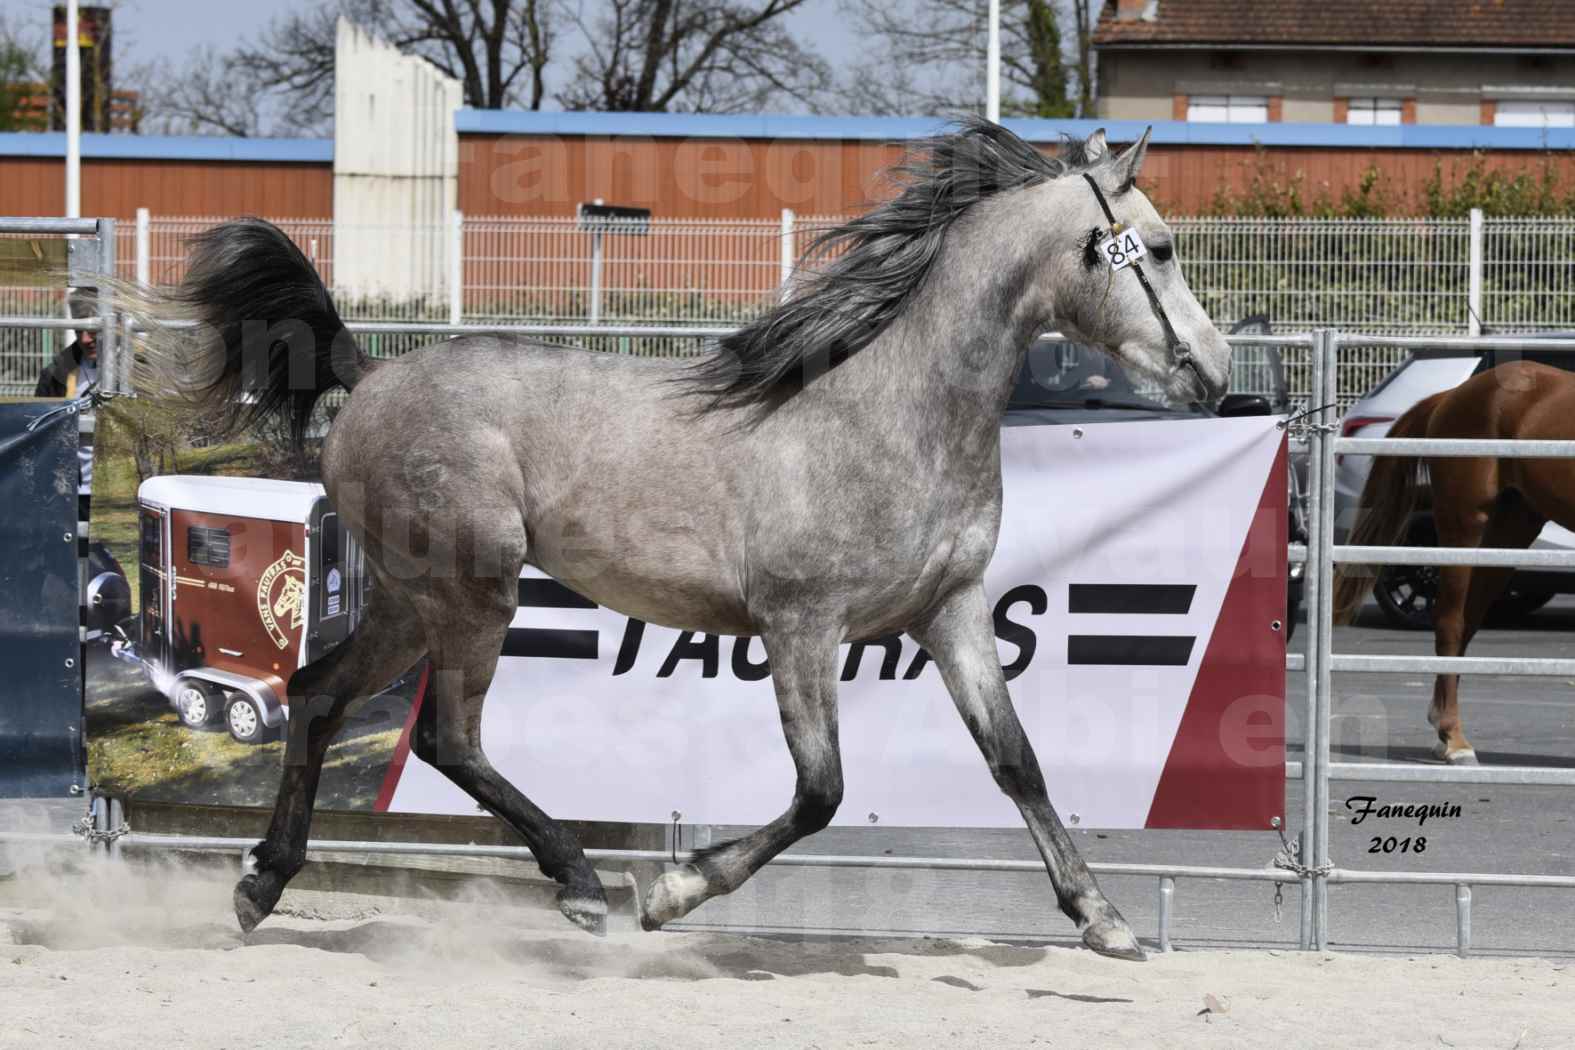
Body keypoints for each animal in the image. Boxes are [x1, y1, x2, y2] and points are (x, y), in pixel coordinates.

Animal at [135, 121, 1228, 963]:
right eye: (1161, 247)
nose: (1215, 375)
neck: (890, 416)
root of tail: (365, 376)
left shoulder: (948, 614)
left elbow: (1018, 765)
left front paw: (1105, 920)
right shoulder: (801, 626)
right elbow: (822, 792)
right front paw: (671, 893)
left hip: (410, 602)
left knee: (318, 694)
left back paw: (261, 885)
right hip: (473, 592)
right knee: (449, 738)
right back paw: (582, 885)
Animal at [1335, 362, 1575, 765]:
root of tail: (1450, 396)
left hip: (1508, 531)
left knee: (1468, 620)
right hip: (1464, 528)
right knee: (1450, 620)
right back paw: (1454, 740)